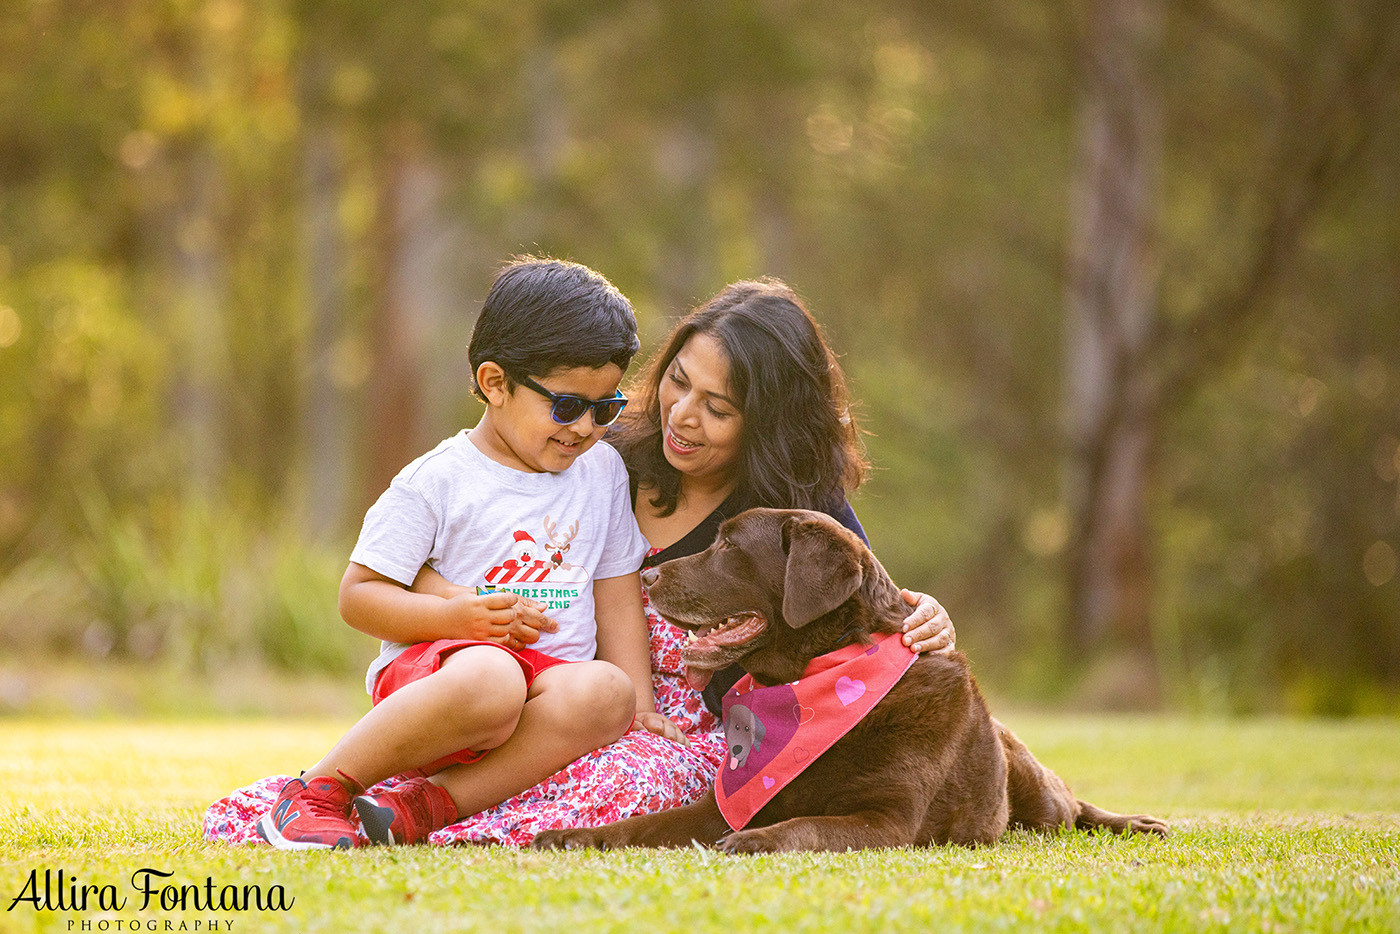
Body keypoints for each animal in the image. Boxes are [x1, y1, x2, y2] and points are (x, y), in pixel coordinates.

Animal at [529, 512, 1164, 856]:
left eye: (730, 545)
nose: (648, 575)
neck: (813, 681)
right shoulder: (720, 808)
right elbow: (644, 825)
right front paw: (571, 837)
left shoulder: (885, 820)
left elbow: (806, 825)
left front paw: (756, 842)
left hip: (1037, 796)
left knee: (1074, 807)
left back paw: (1142, 823)